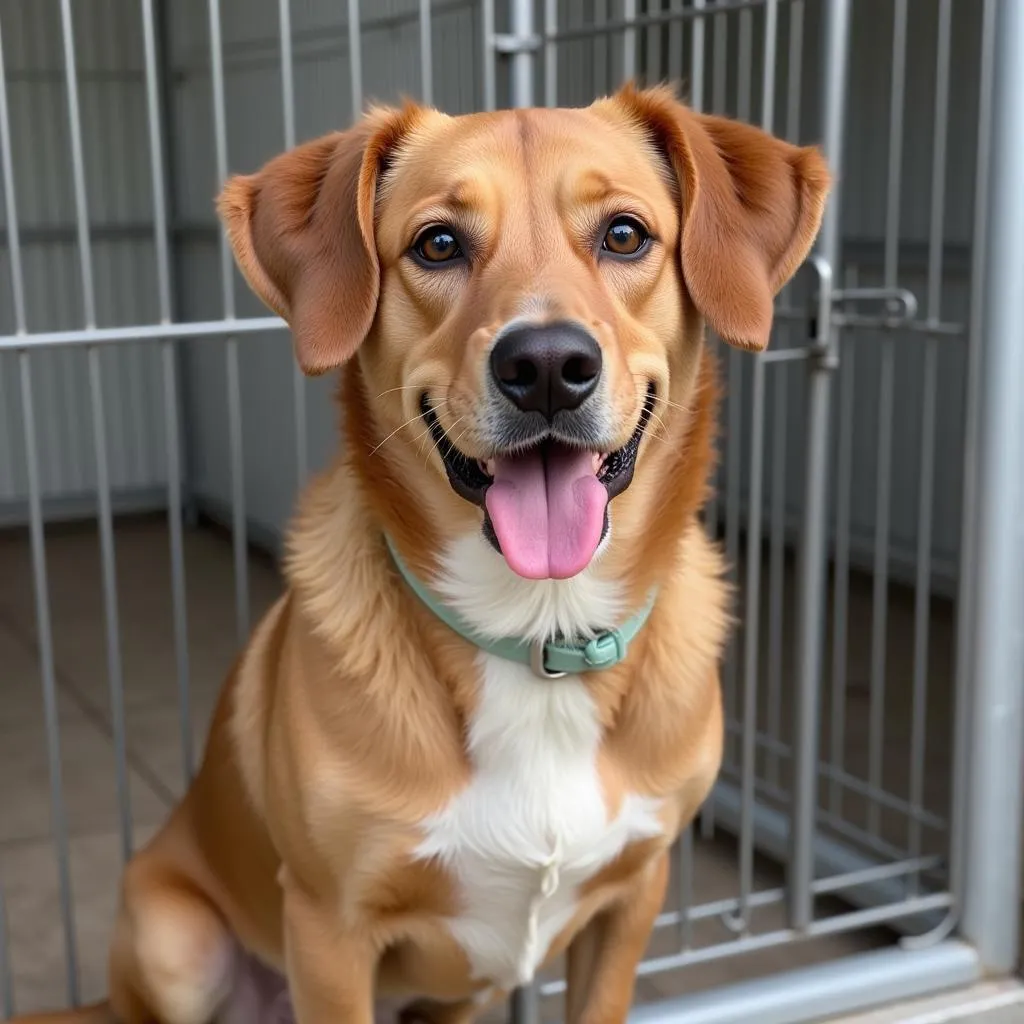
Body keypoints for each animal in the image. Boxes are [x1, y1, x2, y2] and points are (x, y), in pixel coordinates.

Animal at [18, 83, 831, 1019]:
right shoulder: (328, 931)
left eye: (625, 234)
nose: (546, 366)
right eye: (438, 244)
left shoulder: (633, 897)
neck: (538, 633)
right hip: (174, 941)